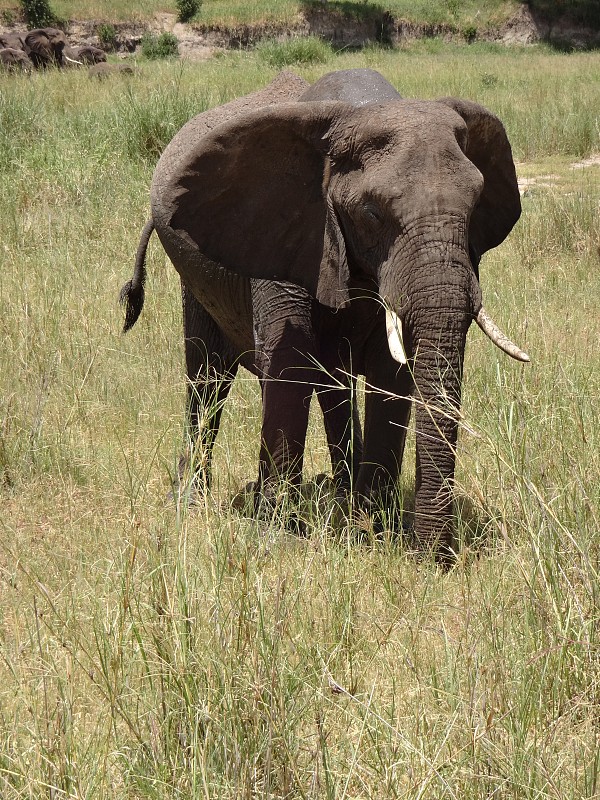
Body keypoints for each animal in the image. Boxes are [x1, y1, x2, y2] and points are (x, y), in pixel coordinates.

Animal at [119, 69, 528, 560]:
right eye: (372, 213)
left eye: (475, 206)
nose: (436, 558)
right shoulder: (283, 229)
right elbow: (290, 360)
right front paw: (278, 537)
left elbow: (390, 373)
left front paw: (374, 528)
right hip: (192, 275)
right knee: (208, 375)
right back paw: (192, 504)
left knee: (328, 381)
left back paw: (340, 498)